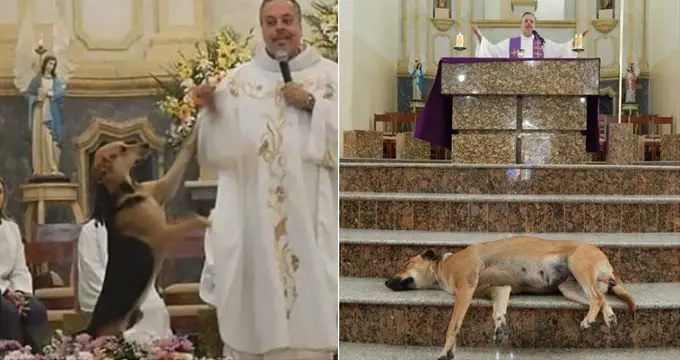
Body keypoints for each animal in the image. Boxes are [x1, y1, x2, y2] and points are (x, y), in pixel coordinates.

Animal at [78, 124, 210, 338]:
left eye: (124, 144)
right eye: (122, 149)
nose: (145, 145)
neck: (129, 193)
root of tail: (90, 327)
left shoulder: (163, 187)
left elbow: (183, 156)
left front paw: (195, 129)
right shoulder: (162, 235)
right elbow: (192, 220)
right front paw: (208, 220)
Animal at [386, 235, 636, 360]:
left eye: (406, 263)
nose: (386, 282)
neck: (444, 266)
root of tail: (607, 263)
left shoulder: (466, 287)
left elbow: (453, 325)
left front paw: (447, 351)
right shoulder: (500, 288)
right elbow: (498, 310)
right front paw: (499, 326)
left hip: (578, 264)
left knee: (597, 298)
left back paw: (589, 320)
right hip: (569, 287)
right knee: (603, 299)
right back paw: (609, 317)